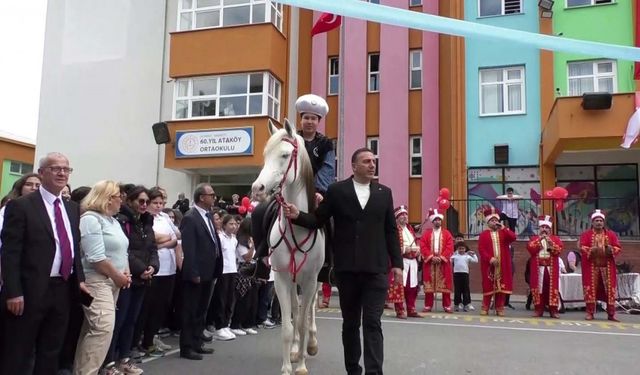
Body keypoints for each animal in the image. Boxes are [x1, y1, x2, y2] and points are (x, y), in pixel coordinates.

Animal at [251, 119, 324, 375]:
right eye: (264, 155)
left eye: (284, 155)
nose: (258, 189)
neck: (298, 224)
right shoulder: (281, 278)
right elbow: (288, 325)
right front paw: (287, 365)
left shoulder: (310, 279)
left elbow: (301, 322)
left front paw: (301, 364)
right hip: (292, 279)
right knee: (295, 307)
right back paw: (295, 349)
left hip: (313, 280)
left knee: (309, 310)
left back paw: (311, 344)